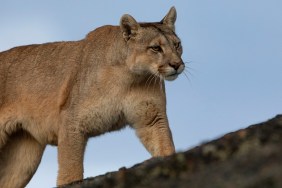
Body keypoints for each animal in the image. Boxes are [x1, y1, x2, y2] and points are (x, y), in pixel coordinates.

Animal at [0, 6, 185, 187]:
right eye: (156, 48)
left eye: (177, 45)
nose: (177, 65)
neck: (129, 79)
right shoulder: (72, 121)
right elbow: (70, 168)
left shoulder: (152, 118)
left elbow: (164, 146)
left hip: (24, 156)